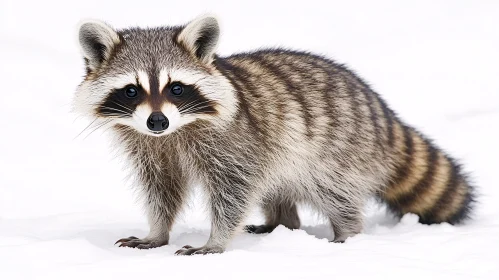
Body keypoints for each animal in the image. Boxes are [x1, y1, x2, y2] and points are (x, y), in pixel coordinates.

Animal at [74, 15, 476, 255]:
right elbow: (163, 189)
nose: (157, 122)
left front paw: (216, 240)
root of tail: (384, 113)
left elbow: (234, 191)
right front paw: (157, 231)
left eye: (176, 88)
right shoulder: (149, 147)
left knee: (335, 192)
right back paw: (282, 222)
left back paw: (347, 232)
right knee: (275, 187)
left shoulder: (235, 141)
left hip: (340, 151)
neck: (177, 130)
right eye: (131, 91)